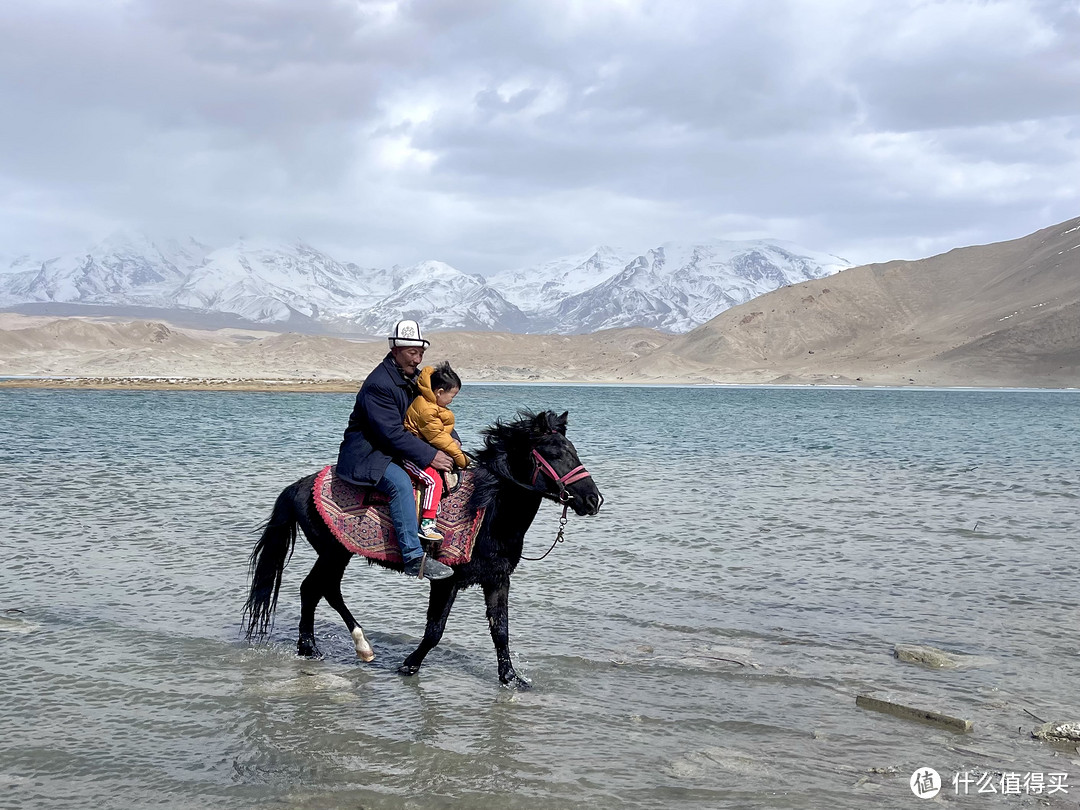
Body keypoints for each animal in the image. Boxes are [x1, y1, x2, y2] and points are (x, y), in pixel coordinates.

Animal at [240, 408, 604, 686]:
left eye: (573, 449)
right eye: (554, 454)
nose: (593, 500)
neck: (487, 510)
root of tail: (300, 486)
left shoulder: (498, 579)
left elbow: (500, 631)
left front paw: (511, 678)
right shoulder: (447, 580)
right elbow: (435, 630)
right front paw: (409, 665)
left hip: (337, 553)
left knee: (319, 589)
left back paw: (336, 647)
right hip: (334, 552)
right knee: (316, 588)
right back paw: (326, 647)